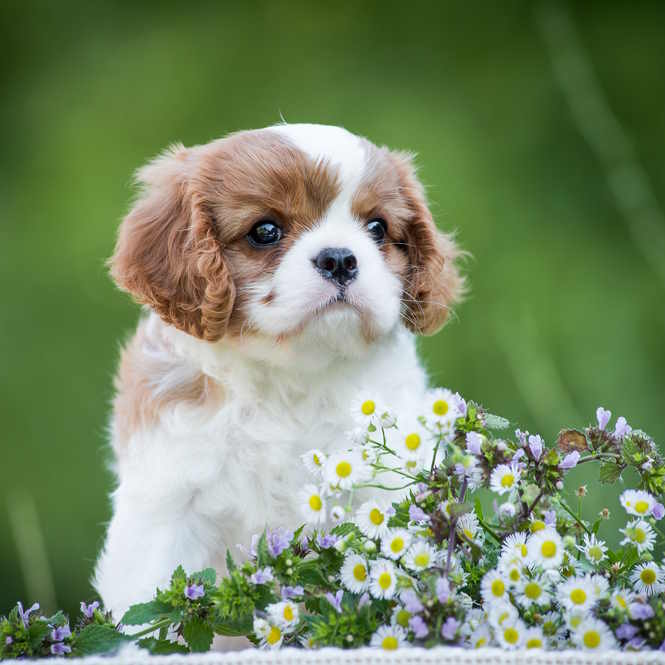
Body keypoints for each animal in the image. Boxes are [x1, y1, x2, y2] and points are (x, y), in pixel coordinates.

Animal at [93, 123, 464, 616]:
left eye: (377, 228)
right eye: (265, 231)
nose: (340, 258)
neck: (290, 378)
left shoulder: (382, 493)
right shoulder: (166, 508)